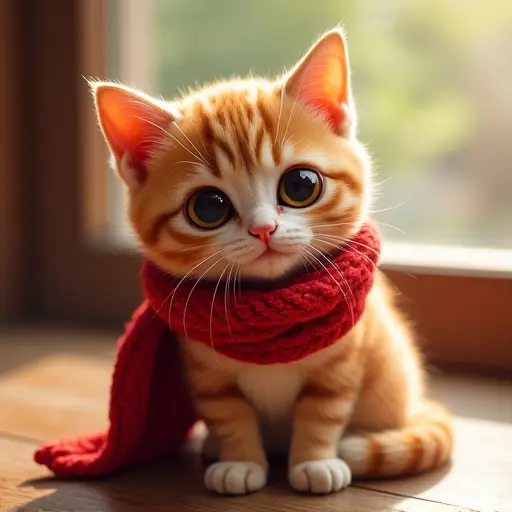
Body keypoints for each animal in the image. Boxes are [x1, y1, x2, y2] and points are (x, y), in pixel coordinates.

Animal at [91, 29, 452, 496]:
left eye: (300, 185)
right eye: (208, 207)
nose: (263, 228)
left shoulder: (344, 361)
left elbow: (323, 412)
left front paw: (316, 461)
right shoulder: (206, 372)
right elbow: (230, 415)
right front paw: (239, 462)